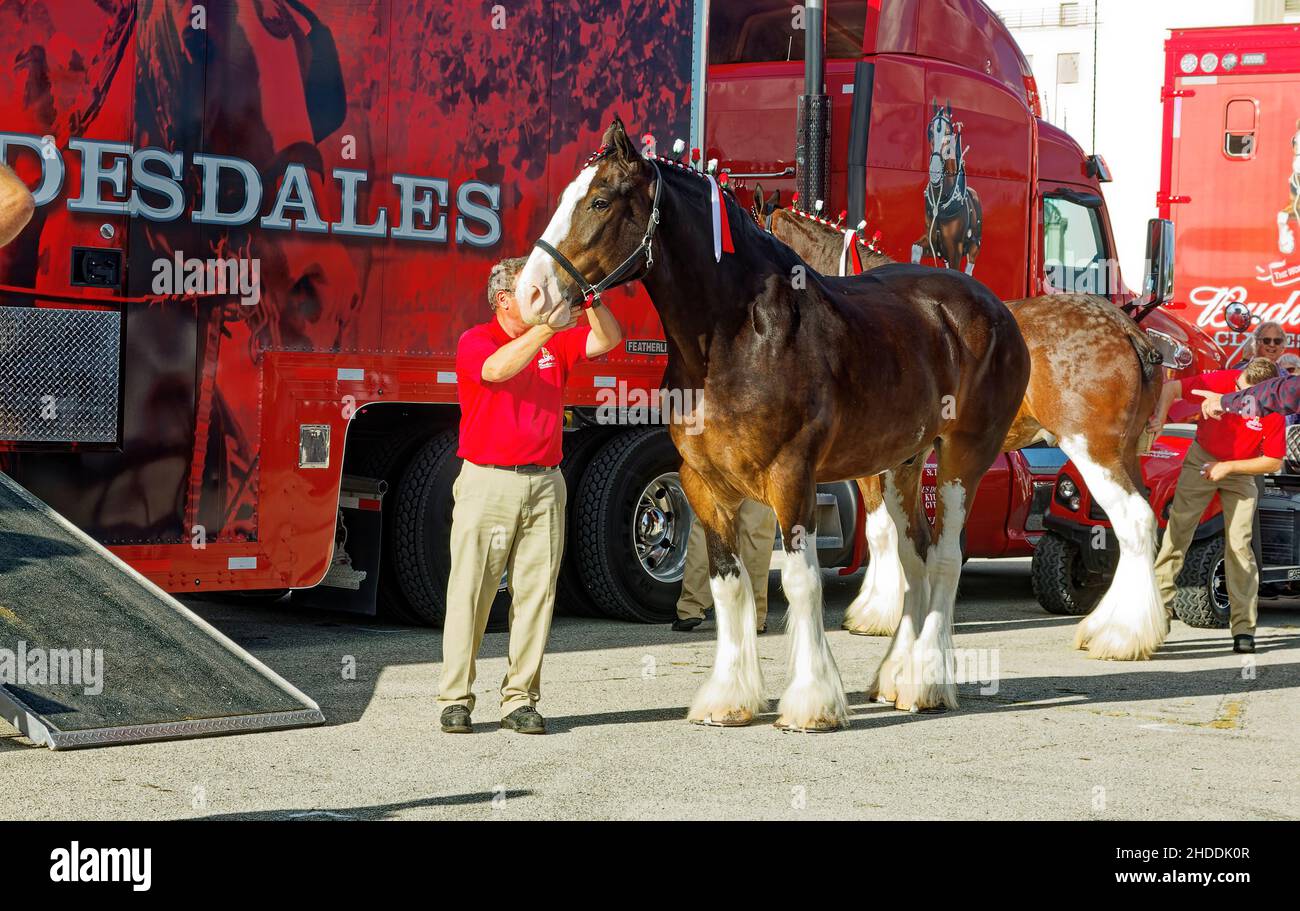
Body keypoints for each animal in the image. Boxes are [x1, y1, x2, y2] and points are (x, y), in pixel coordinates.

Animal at [756, 190, 1169, 662]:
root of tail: (1128, 331)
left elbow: (880, 530)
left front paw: (878, 612)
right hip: (1125, 452)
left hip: (1093, 450)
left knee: (1134, 520)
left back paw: (1121, 636)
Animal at [911, 101, 983, 274]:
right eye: (930, 132)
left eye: (949, 132)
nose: (935, 170)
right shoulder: (933, 242)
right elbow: (915, 249)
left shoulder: (955, 250)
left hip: (974, 246)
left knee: (969, 269)